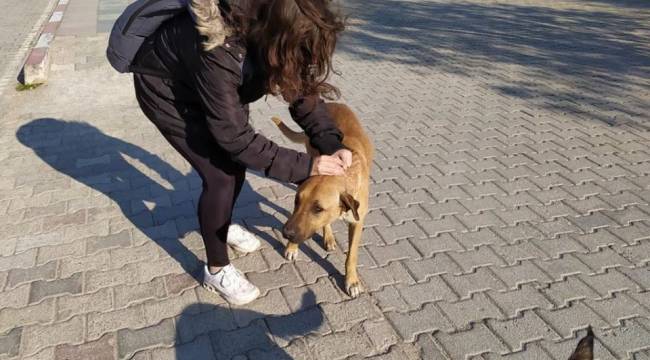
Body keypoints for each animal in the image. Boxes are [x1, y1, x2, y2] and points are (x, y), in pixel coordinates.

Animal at [270, 102, 372, 296]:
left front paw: (352, 280)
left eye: (318, 209)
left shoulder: (358, 222)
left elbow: (352, 256)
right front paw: (292, 247)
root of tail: (332, 103)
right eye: (296, 201)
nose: (286, 233)